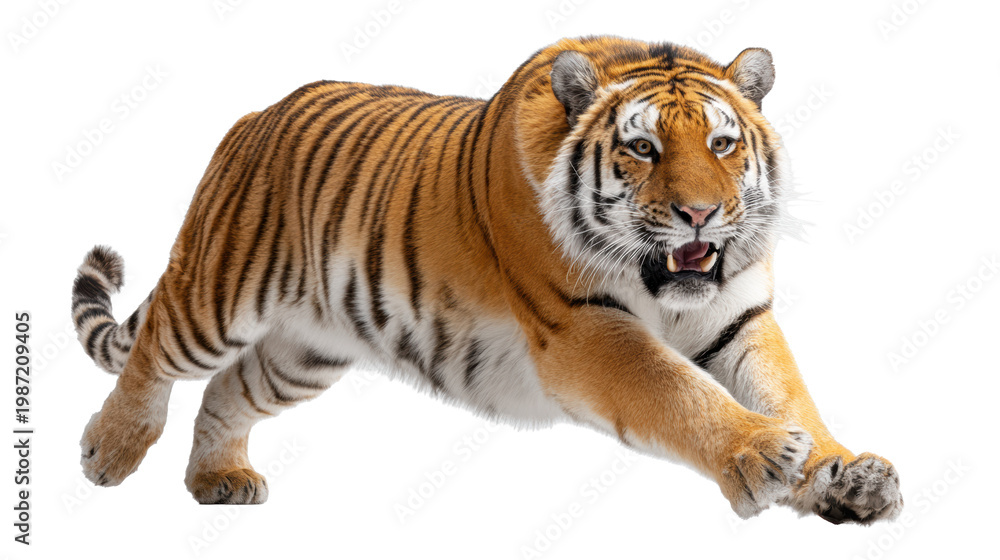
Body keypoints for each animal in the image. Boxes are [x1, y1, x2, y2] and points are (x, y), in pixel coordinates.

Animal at [71, 35, 902, 523]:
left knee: (227, 389)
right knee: (157, 351)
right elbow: (677, 393)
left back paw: (219, 479)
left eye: (724, 144)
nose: (700, 213)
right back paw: (109, 452)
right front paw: (758, 455)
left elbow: (786, 389)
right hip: (221, 294)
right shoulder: (585, 327)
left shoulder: (737, 317)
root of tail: (252, 118)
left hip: (305, 353)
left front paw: (841, 473)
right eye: (642, 148)